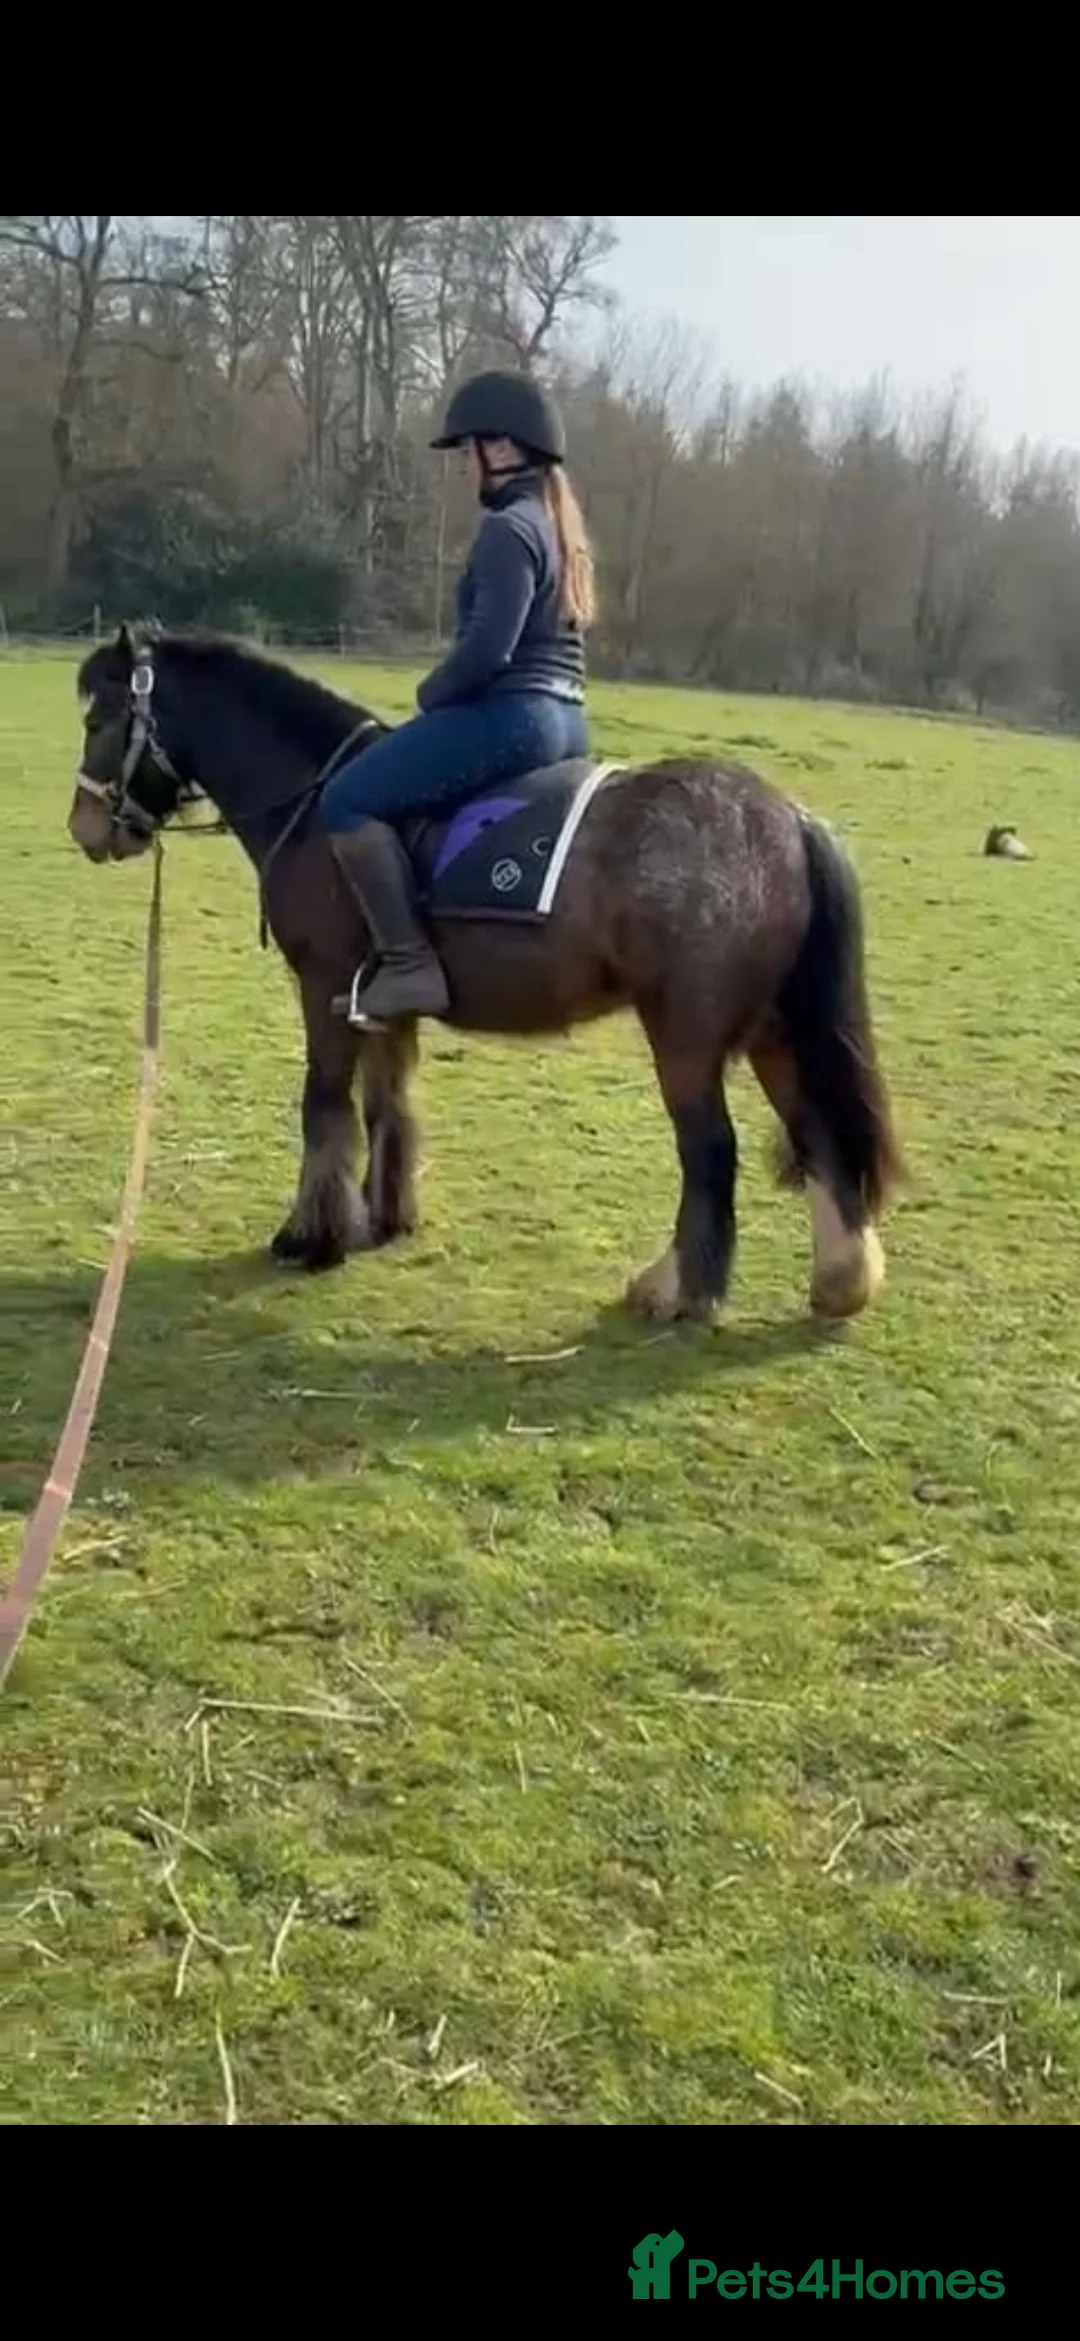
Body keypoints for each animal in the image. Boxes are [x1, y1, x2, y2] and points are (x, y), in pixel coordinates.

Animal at [67, 625, 904, 1325]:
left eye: (99, 720)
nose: (86, 827)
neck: (314, 799)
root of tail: (789, 819)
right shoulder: (381, 1002)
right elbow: (389, 1105)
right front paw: (385, 1218)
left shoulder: (325, 988)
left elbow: (325, 1109)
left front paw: (311, 1237)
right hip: (775, 1032)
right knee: (821, 1136)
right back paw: (841, 1282)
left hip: (687, 1038)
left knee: (711, 1153)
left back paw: (675, 1290)